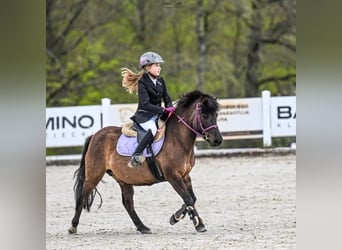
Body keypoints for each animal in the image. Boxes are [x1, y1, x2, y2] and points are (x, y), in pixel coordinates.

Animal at [68, 90, 223, 234]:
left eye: (216, 115)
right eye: (204, 115)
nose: (217, 140)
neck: (178, 139)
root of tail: (95, 135)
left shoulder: (185, 176)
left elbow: (192, 198)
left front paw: (190, 221)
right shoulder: (173, 176)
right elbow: (188, 199)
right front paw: (184, 220)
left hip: (124, 179)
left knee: (128, 203)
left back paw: (142, 227)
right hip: (94, 175)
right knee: (82, 197)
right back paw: (73, 226)